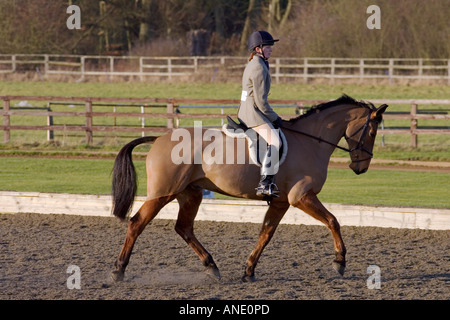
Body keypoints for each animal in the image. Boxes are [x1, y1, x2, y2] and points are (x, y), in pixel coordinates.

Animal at [109, 95, 386, 282]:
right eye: (372, 132)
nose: (361, 167)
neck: (311, 141)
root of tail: (159, 138)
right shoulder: (301, 197)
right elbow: (333, 221)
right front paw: (340, 261)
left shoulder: (280, 202)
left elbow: (266, 234)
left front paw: (249, 270)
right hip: (163, 193)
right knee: (137, 223)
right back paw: (119, 270)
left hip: (191, 194)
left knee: (184, 228)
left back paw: (211, 266)